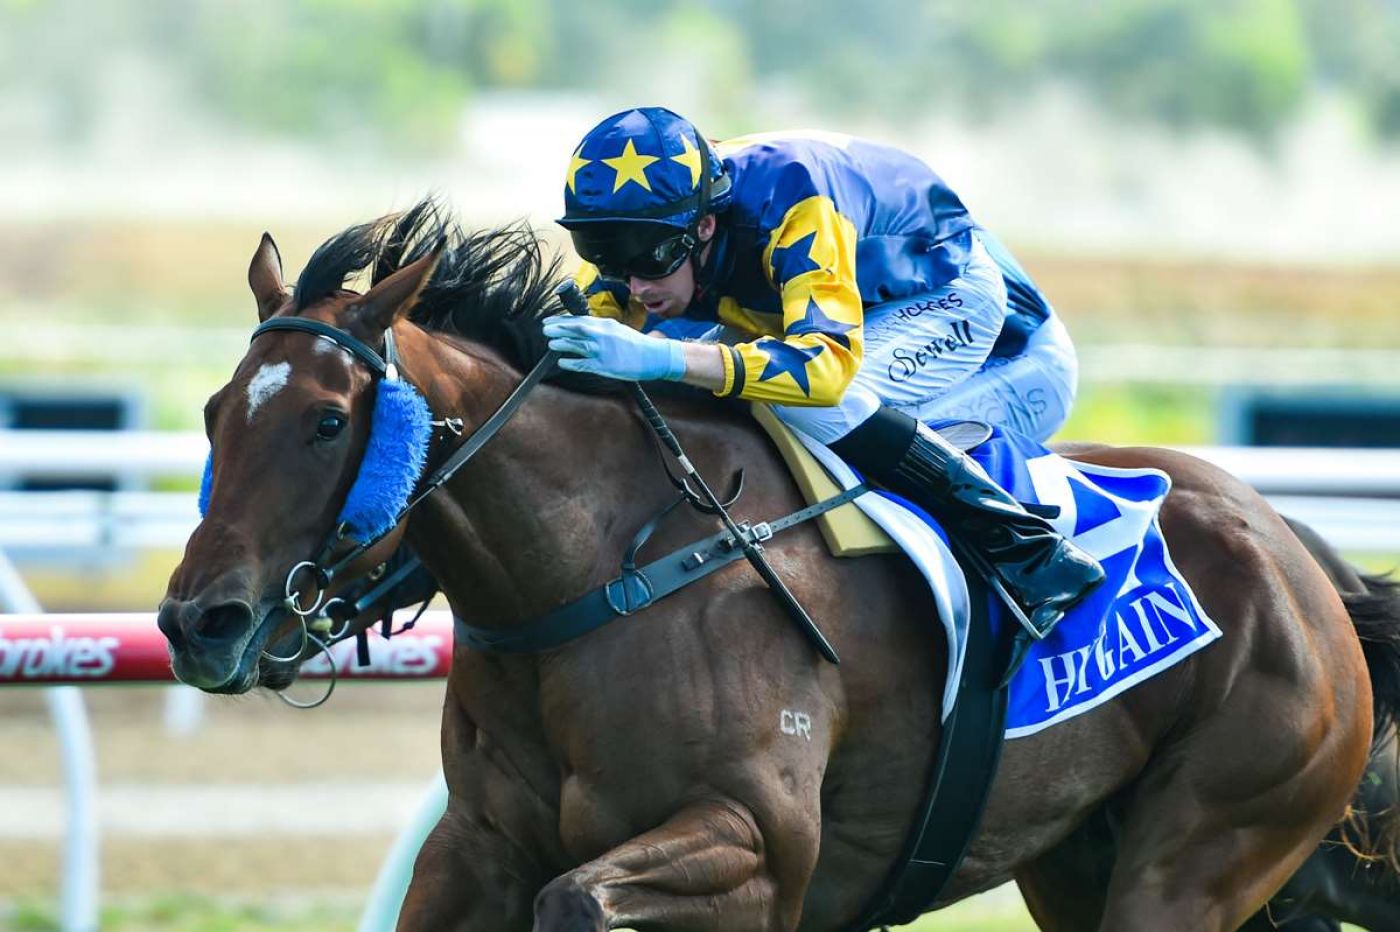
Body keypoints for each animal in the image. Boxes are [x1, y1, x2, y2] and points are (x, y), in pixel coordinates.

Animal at [159, 200, 1398, 930]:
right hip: (1077, 855)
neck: (600, 569)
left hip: (1204, 843)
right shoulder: (473, 849)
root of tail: (1305, 566)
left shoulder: (753, 844)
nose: (196, 622)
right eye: (216, 410)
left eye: (326, 421)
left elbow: (578, 900)